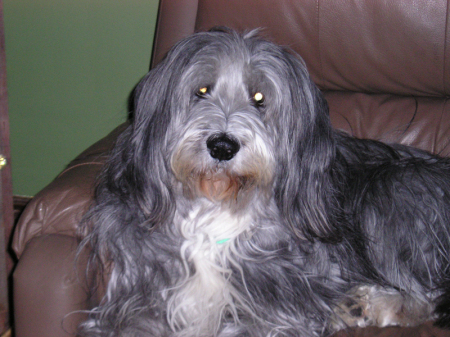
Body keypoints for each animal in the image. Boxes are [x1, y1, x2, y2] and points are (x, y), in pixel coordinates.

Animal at [78, 28, 450, 336]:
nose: (222, 146)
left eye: (259, 98)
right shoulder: (139, 300)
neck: (217, 206)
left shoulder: (279, 305)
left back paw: (362, 304)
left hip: (393, 189)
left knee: (425, 296)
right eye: (202, 90)